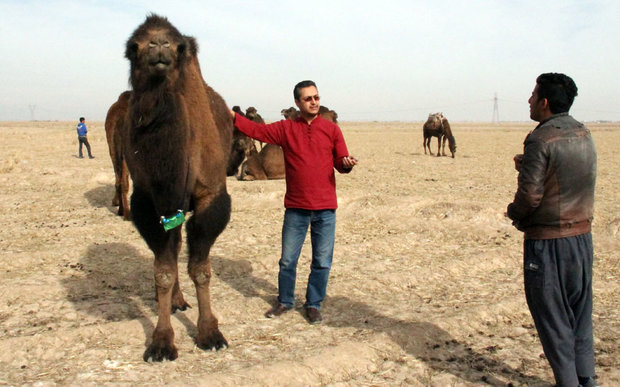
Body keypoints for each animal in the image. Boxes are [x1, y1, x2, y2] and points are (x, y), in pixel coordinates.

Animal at [123, 13, 232, 362]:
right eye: (134, 46)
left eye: (176, 45)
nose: (158, 44)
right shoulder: (148, 201)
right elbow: (163, 270)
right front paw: (161, 341)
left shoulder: (211, 196)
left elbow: (200, 268)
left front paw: (210, 332)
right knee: (174, 246)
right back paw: (176, 300)